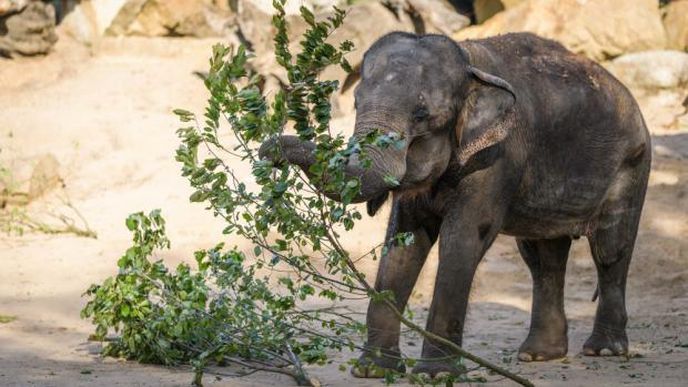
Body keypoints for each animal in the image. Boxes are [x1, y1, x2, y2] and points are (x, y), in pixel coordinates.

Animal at [258, 31, 652, 378]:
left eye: (421, 114)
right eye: (356, 103)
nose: (268, 151)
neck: (469, 64)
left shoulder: (496, 155)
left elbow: (460, 239)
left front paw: (436, 374)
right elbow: (403, 244)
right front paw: (373, 370)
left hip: (633, 163)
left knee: (610, 249)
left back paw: (603, 350)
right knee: (542, 257)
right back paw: (539, 355)